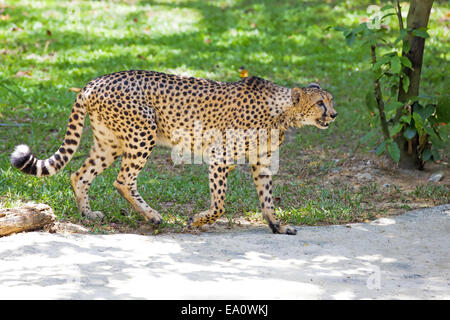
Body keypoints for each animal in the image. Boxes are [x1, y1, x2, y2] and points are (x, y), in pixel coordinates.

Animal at [10, 70, 336, 235]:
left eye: (330, 100)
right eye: (320, 102)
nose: (333, 115)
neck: (282, 111)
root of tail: (95, 81)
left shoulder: (262, 162)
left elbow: (267, 199)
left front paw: (278, 225)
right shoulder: (219, 157)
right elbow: (220, 204)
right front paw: (197, 221)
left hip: (110, 143)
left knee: (79, 174)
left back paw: (88, 214)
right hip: (143, 134)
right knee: (123, 181)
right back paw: (153, 217)